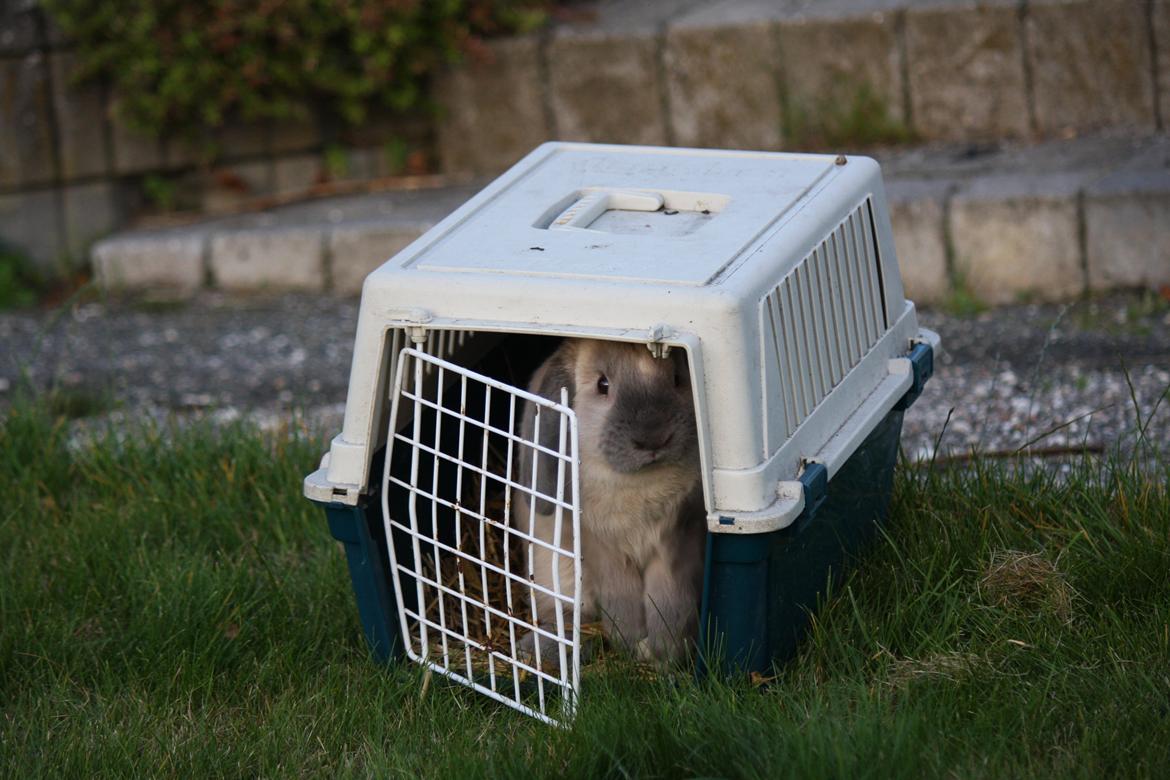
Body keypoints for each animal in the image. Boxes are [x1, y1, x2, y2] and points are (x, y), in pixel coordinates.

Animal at [510, 339, 702, 673]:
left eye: (679, 378)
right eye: (603, 385)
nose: (653, 438)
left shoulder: (678, 541)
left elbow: (670, 599)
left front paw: (666, 655)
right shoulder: (601, 547)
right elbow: (620, 599)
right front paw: (632, 642)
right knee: (571, 619)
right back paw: (537, 650)